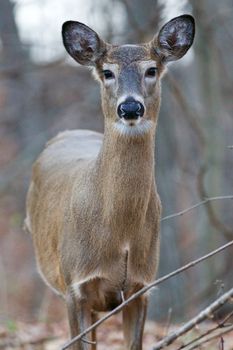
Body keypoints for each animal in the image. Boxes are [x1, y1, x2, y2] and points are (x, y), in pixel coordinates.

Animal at [25, 14, 195, 350]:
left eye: (151, 70)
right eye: (107, 72)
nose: (130, 107)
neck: (120, 234)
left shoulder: (141, 285)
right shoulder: (74, 285)